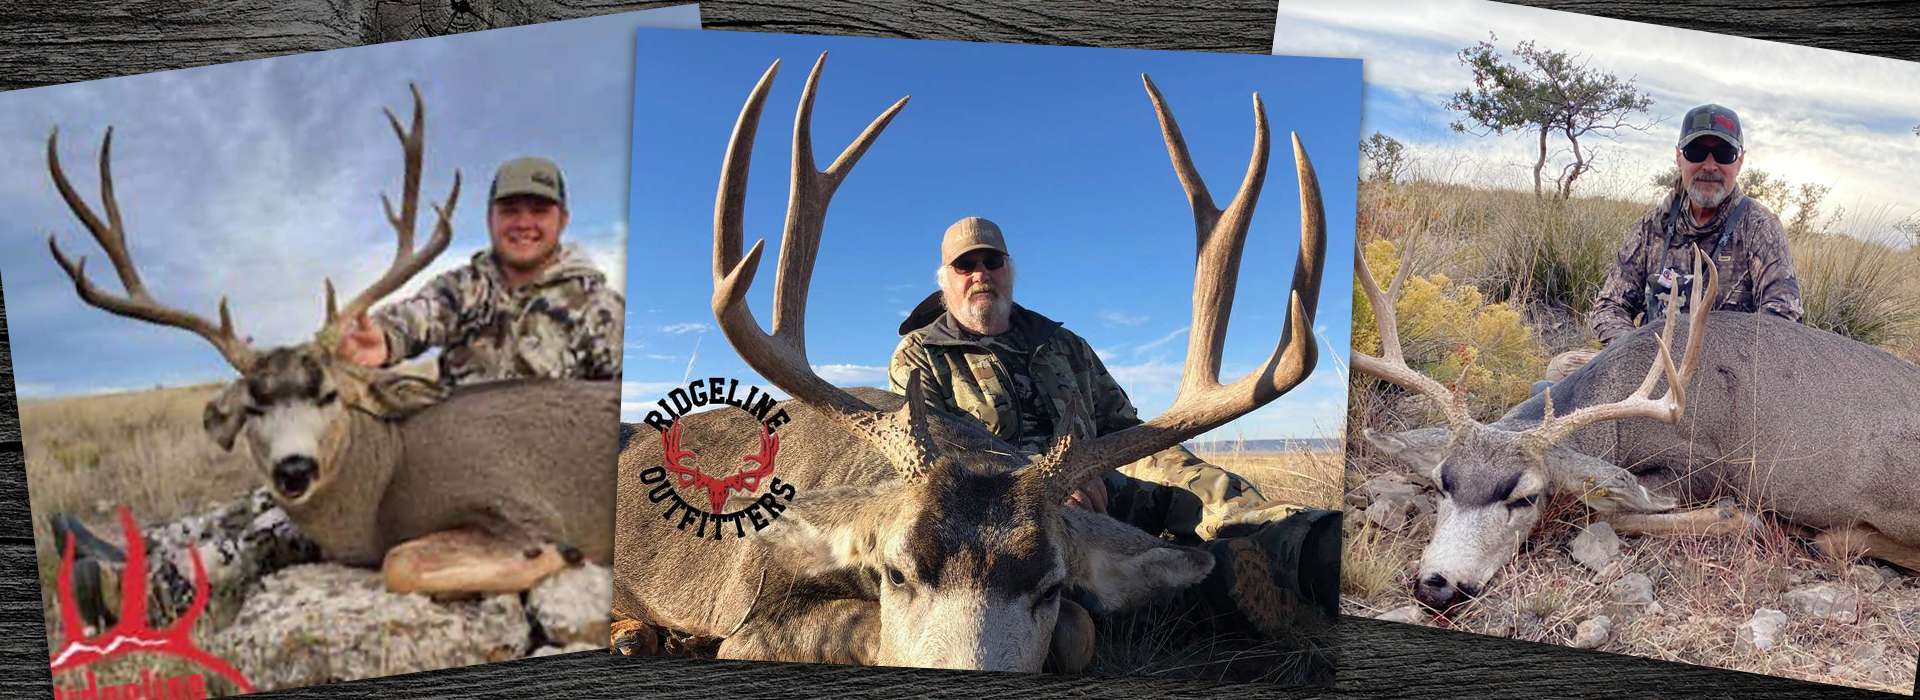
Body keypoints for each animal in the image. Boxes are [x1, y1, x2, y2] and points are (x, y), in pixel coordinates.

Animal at [45, 85, 617, 596]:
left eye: (328, 395)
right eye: (252, 407)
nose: (294, 468)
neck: (384, 486)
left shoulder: (516, 502)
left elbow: (398, 562)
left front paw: (560, 555)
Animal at [1354, 235, 1920, 612]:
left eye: (1526, 497)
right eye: (1440, 484)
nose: (1438, 583)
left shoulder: (1703, 467)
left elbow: (1614, 511)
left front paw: (1739, 519)